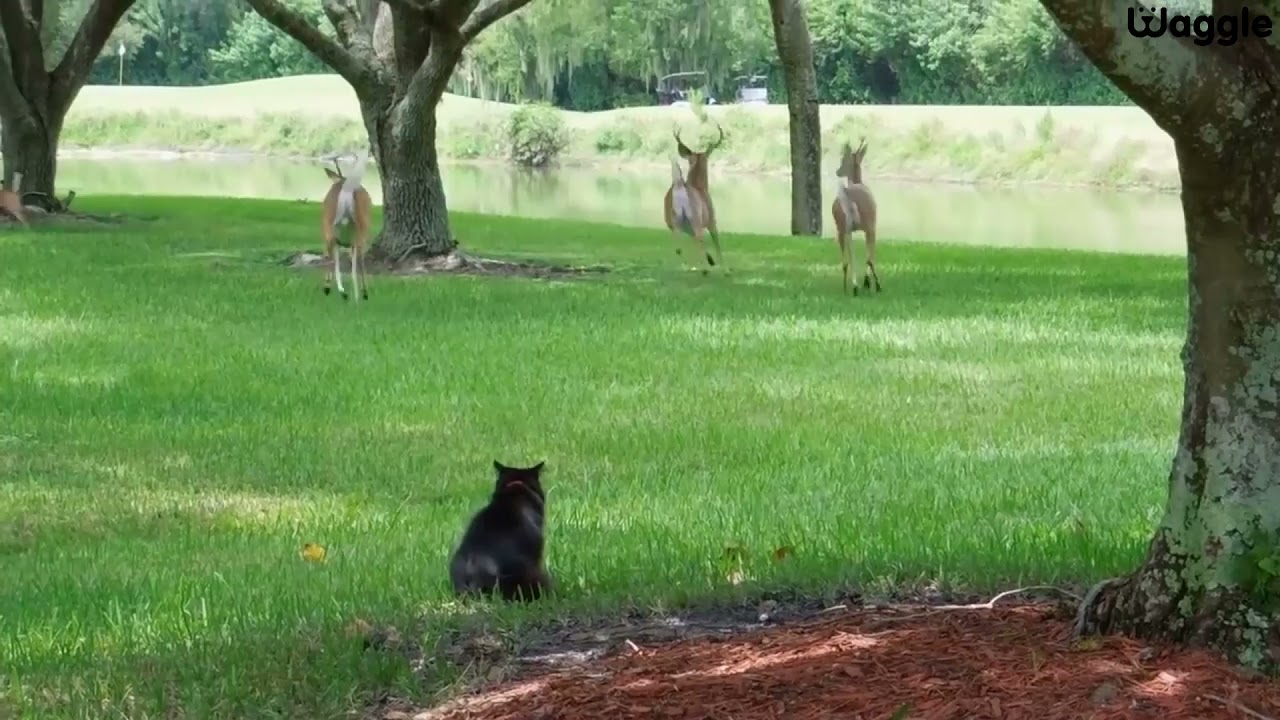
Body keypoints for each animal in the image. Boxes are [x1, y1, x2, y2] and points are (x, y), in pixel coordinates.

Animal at [664, 122, 726, 274]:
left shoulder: (687, 228)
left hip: (672, 221)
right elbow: (717, 244)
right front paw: (725, 269)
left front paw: (711, 261)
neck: (700, 187)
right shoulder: (712, 220)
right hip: (696, 217)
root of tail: (679, 185)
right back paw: (703, 270)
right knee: (699, 239)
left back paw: (687, 267)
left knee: (679, 248)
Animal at [831, 138, 880, 296]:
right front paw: (867, 282)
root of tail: (847, 194)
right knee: (866, 257)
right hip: (868, 223)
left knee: (848, 258)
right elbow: (869, 254)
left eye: (843, 159)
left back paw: (852, 287)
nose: (838, 171)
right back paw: (869, 285)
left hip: (842, 227)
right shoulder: (872, 225)